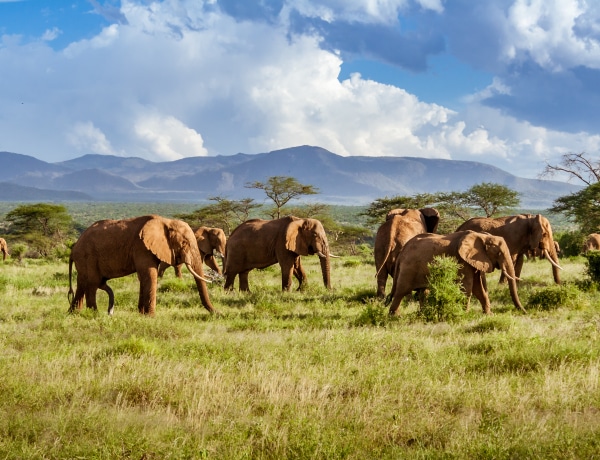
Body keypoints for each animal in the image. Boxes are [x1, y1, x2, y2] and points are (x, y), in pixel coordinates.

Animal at [67, 215, 217, 316]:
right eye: (185, 243)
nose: (218, 313)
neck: (166, 221)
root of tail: (74, 248)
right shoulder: (141, 247)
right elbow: (150, 275)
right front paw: (151, 316)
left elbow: (144, 277)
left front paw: (141, 314)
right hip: (88, 256)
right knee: (92, 283)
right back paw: (94, 314)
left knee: (82, 283)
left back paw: (74, 313)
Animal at [386, 230, 524, 316]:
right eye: (499, 253)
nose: (524, 311)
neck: (482, 236)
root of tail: (402, 252)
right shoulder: (461, 260)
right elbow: (467, 286)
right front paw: (464, 314)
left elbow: (479, 288)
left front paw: (489, 314)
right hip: (408, 268)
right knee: (401, 292)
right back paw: (395, 316)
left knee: (423, 292)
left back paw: (422, 314)